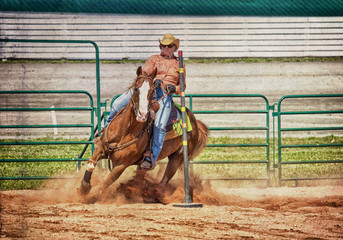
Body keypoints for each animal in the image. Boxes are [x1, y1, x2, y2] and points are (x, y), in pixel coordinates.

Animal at [80, 65, 210, 199]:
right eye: (136, 88)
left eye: (152, 90)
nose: (142, 114)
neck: (125, 132)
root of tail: (195, 122)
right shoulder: (101, 148)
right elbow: (91, 164)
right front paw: (84, 188)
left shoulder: (121, 164)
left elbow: (105, 184)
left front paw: (90, 197)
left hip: (177, 157)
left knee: (164, 181)